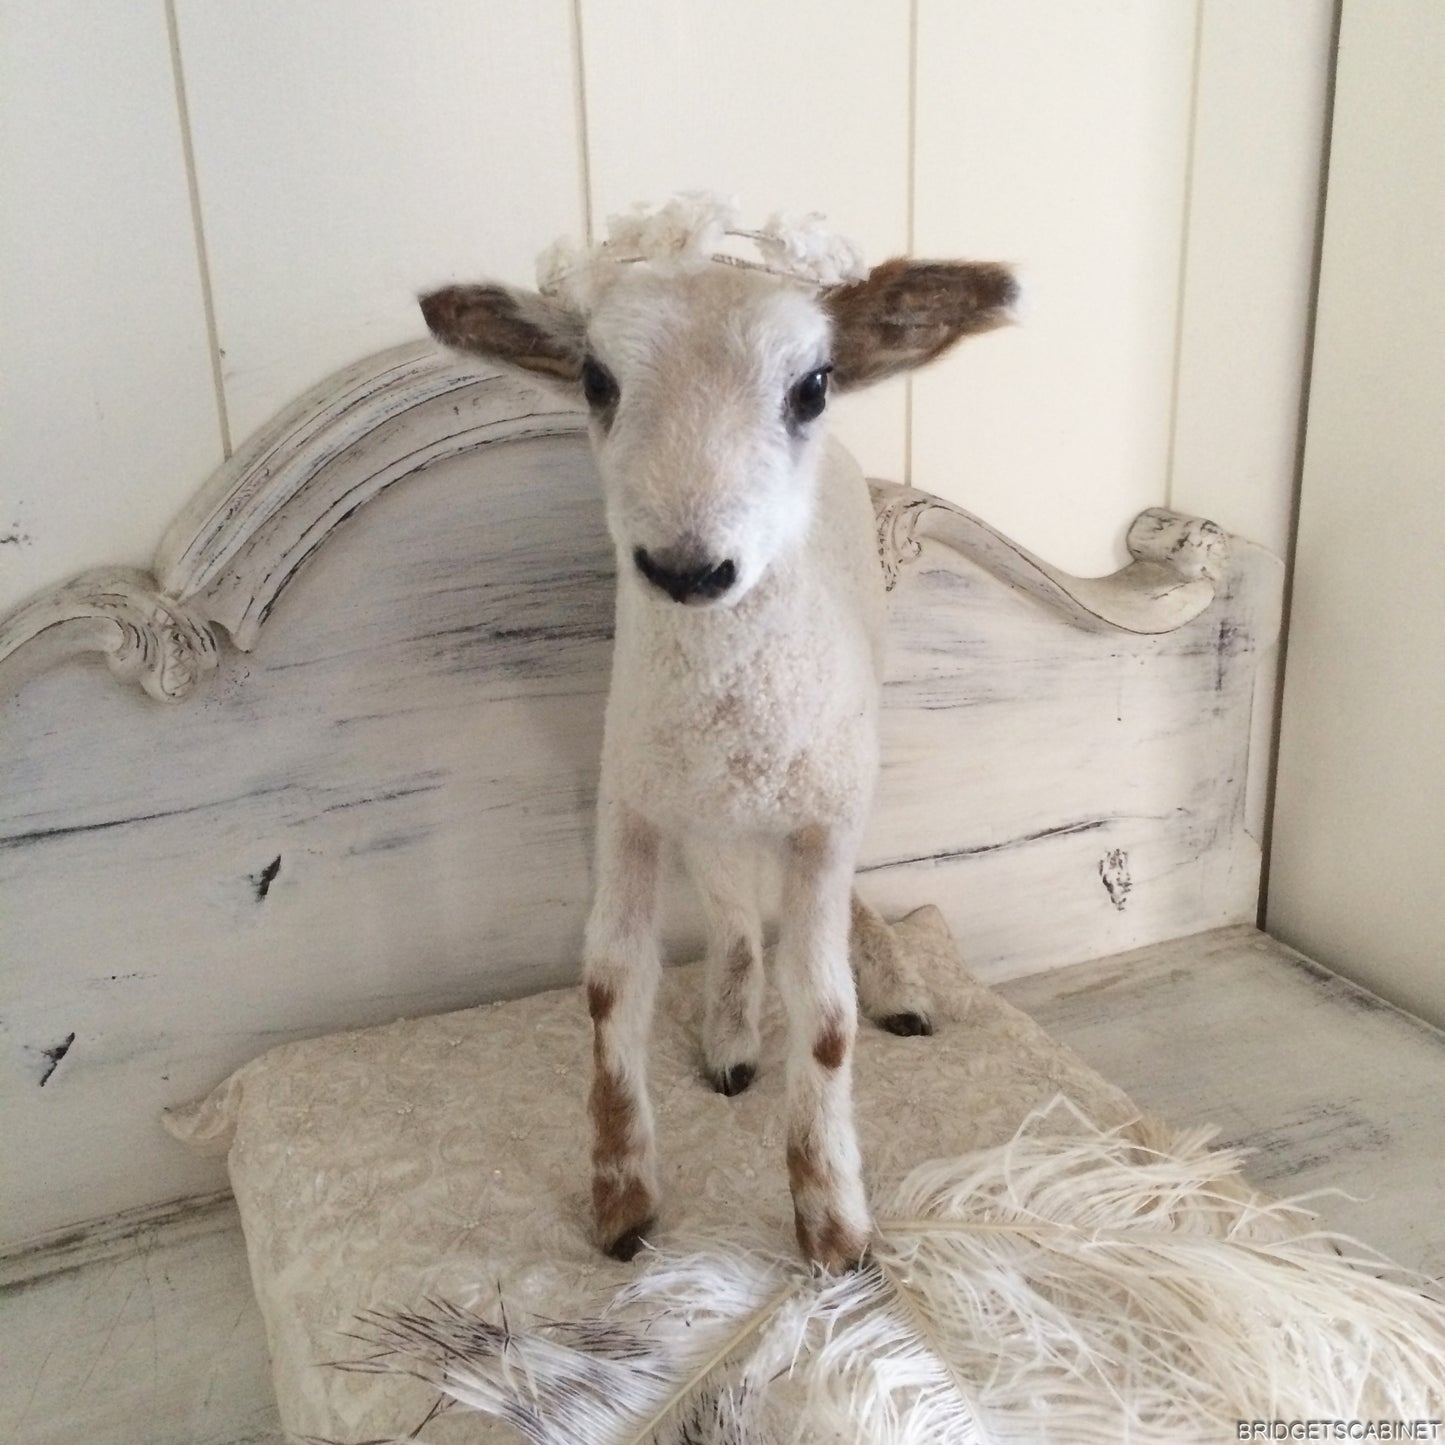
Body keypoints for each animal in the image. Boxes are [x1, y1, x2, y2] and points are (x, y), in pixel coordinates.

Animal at [420, 200, 1015, 1270]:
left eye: (812, 385)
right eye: (595, 380)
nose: (686, 568)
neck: (729, 698)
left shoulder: (821, 812)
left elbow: (825, 1016)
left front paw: (833, 1225)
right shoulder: (633, 803)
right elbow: (611, 986)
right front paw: (622, 1204)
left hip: (840, 759)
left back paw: (894, 987)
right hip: (699, 798)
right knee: (735, 912)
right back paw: (732, 1033)